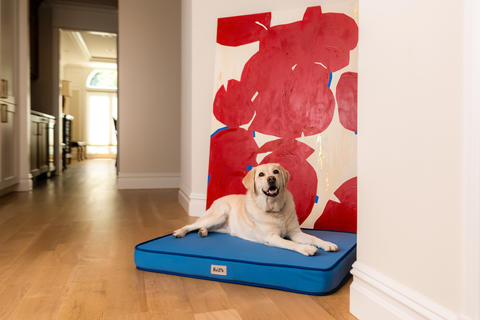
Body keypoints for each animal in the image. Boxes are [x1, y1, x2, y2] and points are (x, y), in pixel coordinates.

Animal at [172, 164, 338, 256]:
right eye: (261, 174)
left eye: (276, 171)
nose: (271, 179)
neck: (276, 210)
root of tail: (216, 200)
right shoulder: (272, 238)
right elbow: (291, 244)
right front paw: (306, 248)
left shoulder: (295, 232)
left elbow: (314, 238)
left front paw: (326, 244)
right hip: (219, 214)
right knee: (191, 225)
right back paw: (180, 232)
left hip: (222, 226)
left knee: (206, 228)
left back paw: (203, 231)